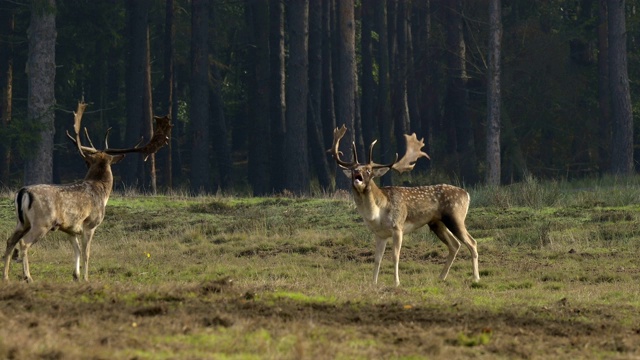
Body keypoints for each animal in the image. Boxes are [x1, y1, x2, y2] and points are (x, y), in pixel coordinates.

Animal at [2, 100, 171, 282]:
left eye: (87, 162)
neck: (102, 193)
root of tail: (23, 192)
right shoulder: (90, 224)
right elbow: (86, 253)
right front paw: (86, 278)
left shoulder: (70, 228)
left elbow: (76, 250)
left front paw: (75, 275)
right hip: (42, 222)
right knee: (24, 243)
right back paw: (28, 277)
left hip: (22, 222)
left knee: (10, 241)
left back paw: (5, 277)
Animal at [330, 125, 480, 286]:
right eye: (354, 169)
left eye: (368, 170)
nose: (357, 172)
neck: (377, 214)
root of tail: (467, 194)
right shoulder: (379, 234)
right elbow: (377, 259)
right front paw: (373, 283)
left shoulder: (397, 226)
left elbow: (395, 256)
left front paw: (396, 282)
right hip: (436, 223)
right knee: (455, 245)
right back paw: (441, 277)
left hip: (455, 216)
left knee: (472, 242)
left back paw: (476, 277)